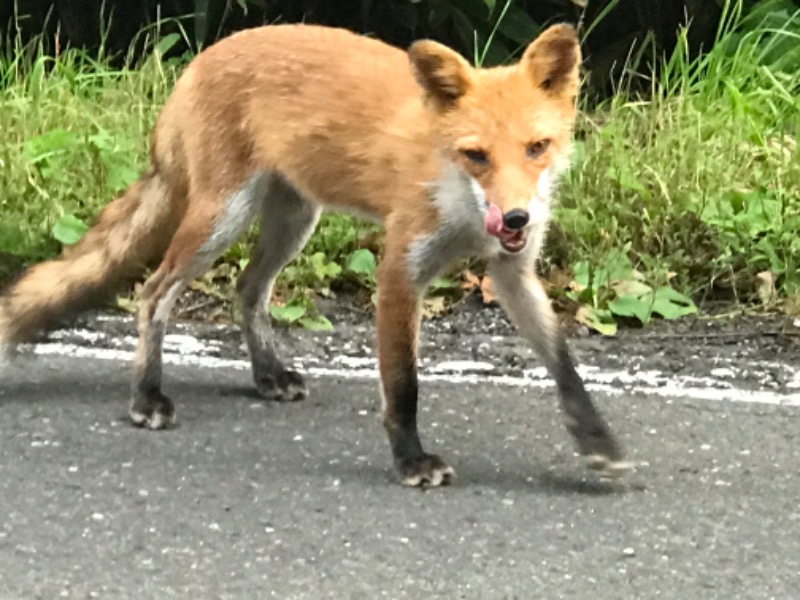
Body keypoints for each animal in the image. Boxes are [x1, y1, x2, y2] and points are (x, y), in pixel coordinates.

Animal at [0, 23, 632, 486]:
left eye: (537, 148)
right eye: (476, 155)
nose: (515, 217)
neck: (461, 207)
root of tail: (200, 58)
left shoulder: (511, 271)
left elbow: (565, 366)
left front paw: (597, 440)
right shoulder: (399, 271)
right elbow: (404, 385)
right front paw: (411, 461)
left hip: (294, 221)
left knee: (248, 290)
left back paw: (267, 375)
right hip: (220, 219)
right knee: (155, 294)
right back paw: (147, 397)